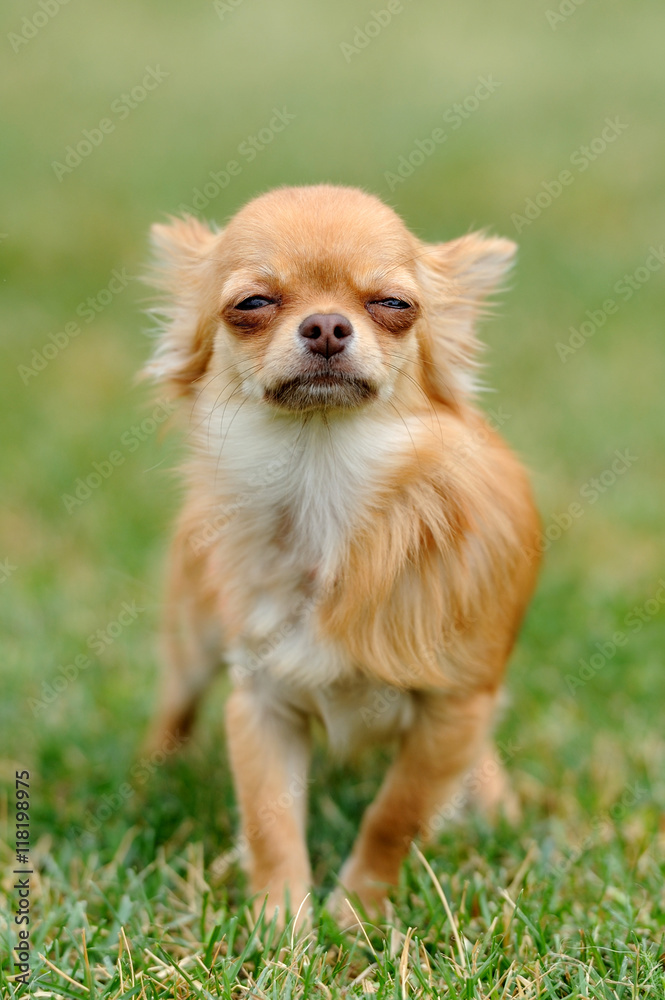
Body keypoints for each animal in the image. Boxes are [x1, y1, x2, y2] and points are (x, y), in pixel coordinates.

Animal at [141, 186, 540, 920]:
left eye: (393, 305)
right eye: (251, 304)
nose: (326, 326)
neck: (322, 484)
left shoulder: (454, 710)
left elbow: (395, 815)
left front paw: (357, 914)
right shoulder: (261, 701)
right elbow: (269, 819)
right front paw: (281, 923)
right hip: (195, 634)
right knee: (176, 699)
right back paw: (153, 775)